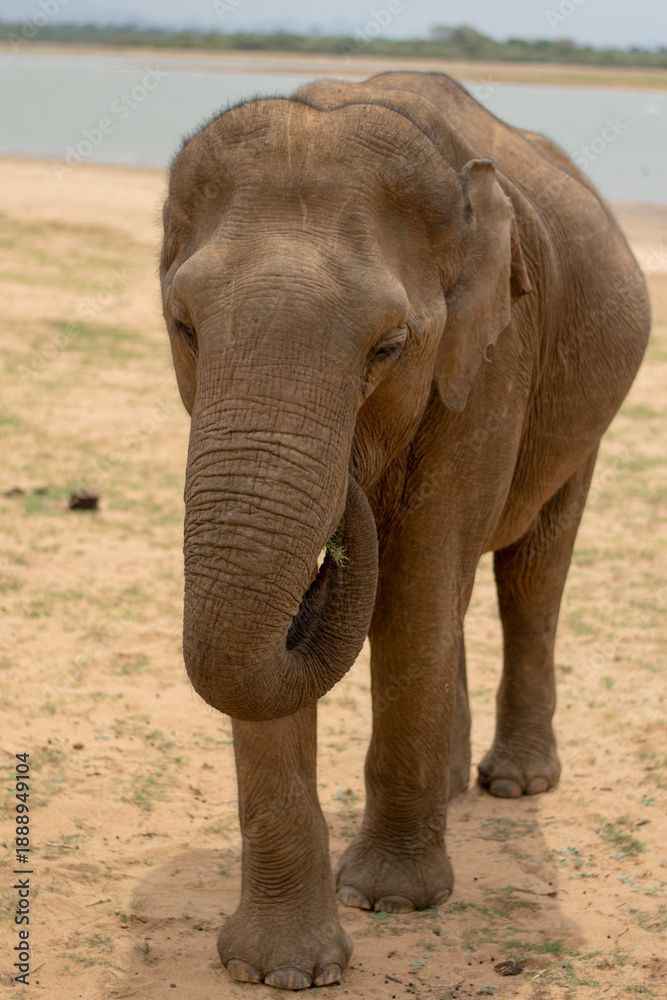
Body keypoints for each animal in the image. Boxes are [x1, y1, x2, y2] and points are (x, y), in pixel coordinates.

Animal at [160, 71, 650, 990]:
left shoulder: (493, 354)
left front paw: (390, 900)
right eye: (184, 328)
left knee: (528, 577)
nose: (350, 496)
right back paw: (452, 786)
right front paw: (280, 972)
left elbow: (420, 576)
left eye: (388, 347)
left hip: (583, 420)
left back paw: (512, 786)